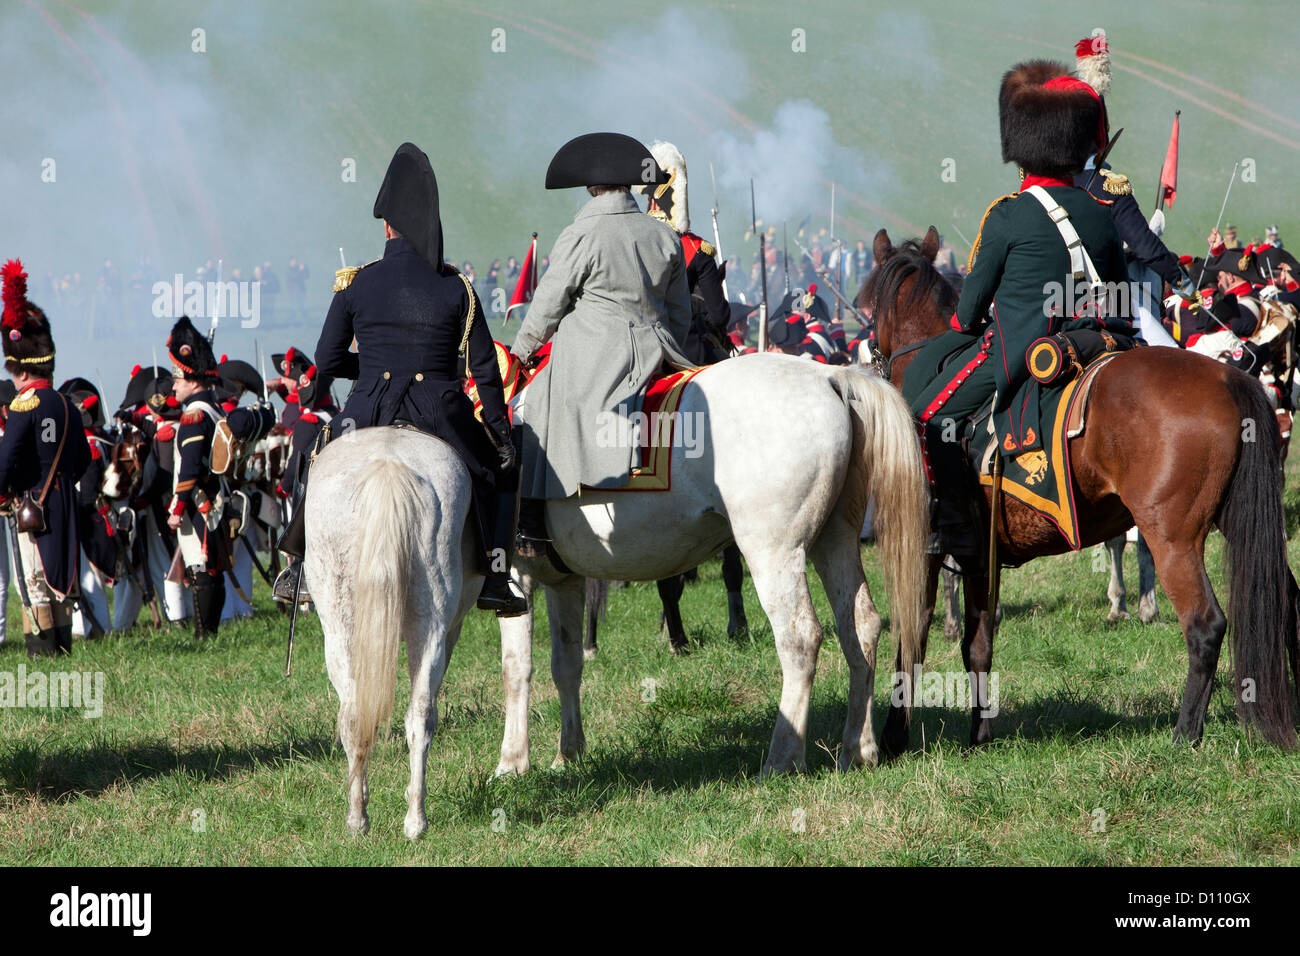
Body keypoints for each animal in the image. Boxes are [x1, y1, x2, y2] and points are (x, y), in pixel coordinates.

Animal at [301, 426, 480, 837]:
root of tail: (388, 464)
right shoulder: (450, 630)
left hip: (341, 629)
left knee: (357, 715)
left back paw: (362, 818)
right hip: (428, 627)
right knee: (417, 713)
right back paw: (413, 819)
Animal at [496, 351, 935, 780]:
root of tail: (830, 375)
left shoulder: (516, 579)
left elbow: (517, 668)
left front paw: (512, 762)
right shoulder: (563, 582)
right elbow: (565, 665)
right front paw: (567, 754)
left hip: (774, 554)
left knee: (800, 638)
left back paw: (782, 759)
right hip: (835, 542)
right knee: (861, 627)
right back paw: (858, 750)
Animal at [863, 227, 1300, 759]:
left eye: (869, 305)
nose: (869, 357)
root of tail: (1229, 378)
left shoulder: (925, 549)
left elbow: (912, 637)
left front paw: (893, 737)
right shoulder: (980, 556)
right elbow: (978, 643)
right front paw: (979, 735)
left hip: (1173, 539)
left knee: (1205, 624)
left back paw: (1183, 735)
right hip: (1241, 525)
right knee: (1284, 604)